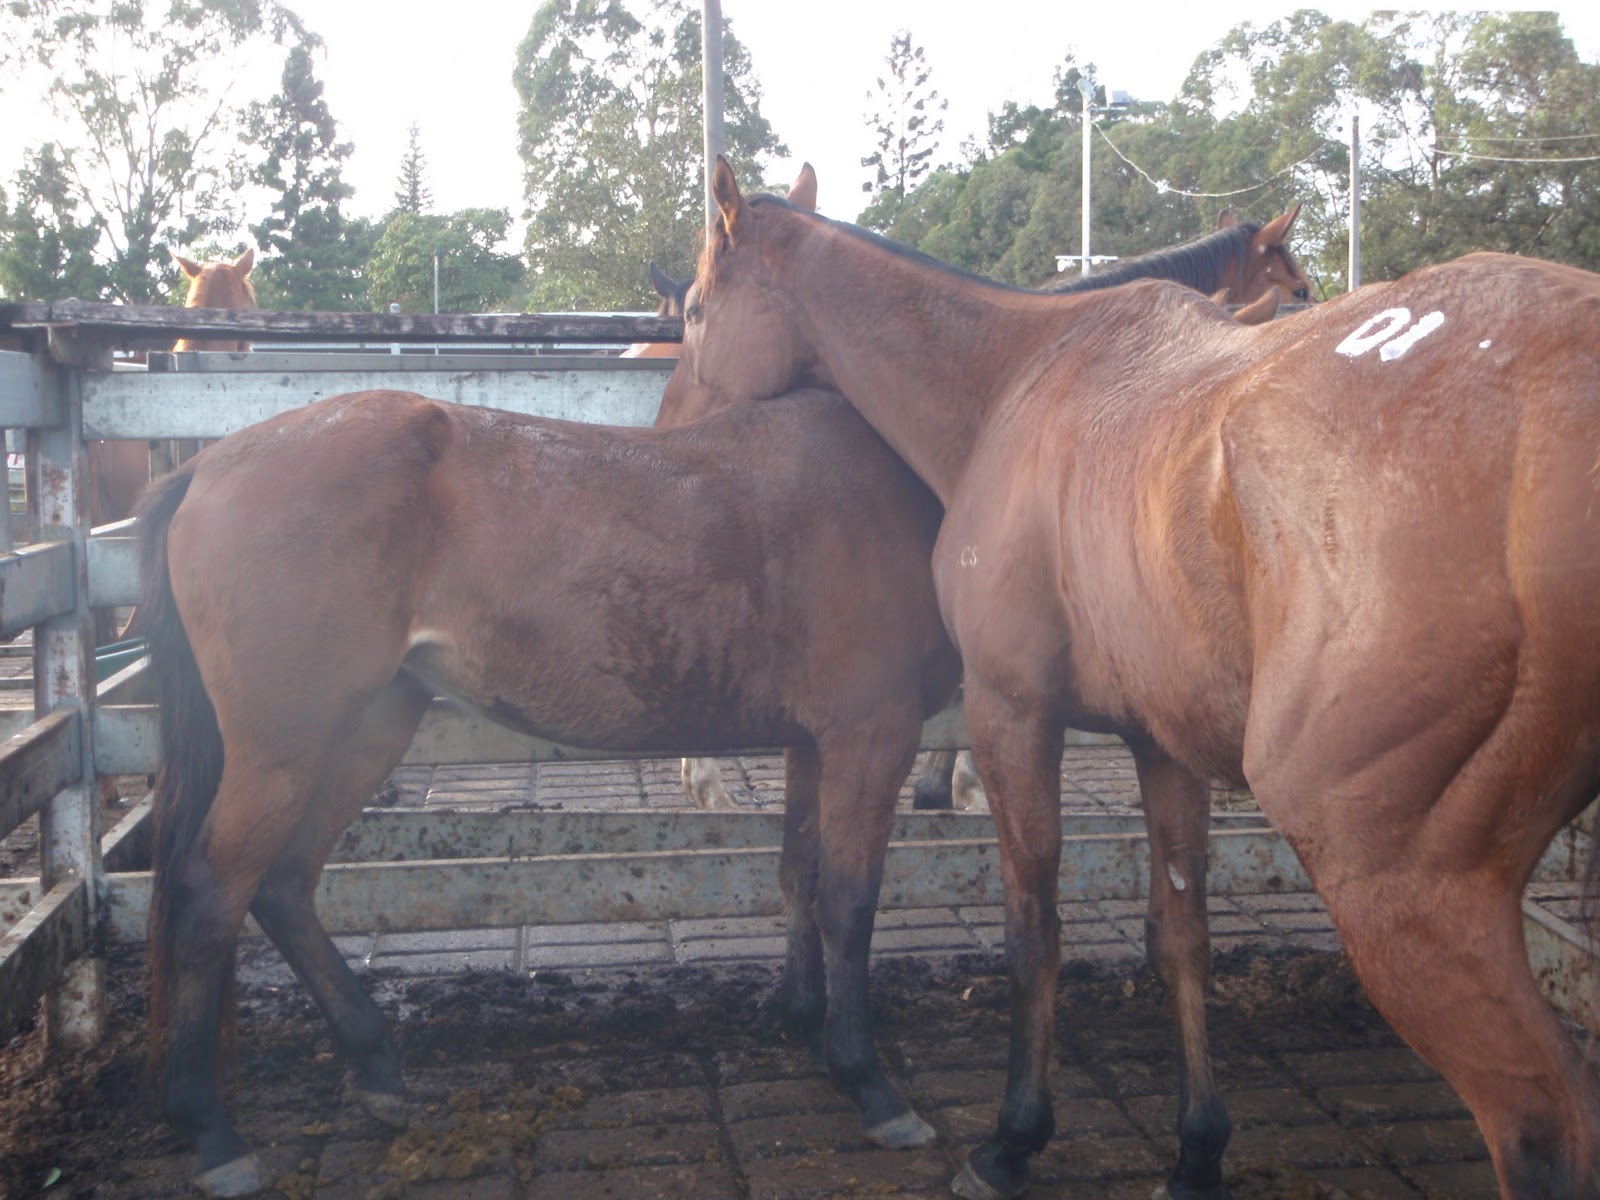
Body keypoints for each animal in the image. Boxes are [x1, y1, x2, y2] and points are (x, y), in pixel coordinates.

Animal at [137, 386, 965, 1196]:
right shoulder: (870, 735)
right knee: (210, 893)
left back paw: (374, 1065)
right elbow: (849, 903)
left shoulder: (815, 743)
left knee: (281, 885)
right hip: (287, 749)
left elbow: (801, 875)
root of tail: (206, 467)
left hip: (366, 725)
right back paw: (210, 1129)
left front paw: (804, 1022)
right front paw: (867, 1081)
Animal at [661, 156, 1600, 1200]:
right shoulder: (1164, 742)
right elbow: (1179, 938)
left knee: (1540, 1120)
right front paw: (1197, 1149)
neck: (1018, 377)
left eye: (696, 308)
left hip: (1399, 881)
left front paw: (1015, 1137)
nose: (669, 427)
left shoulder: (1012, 712)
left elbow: (1035, 927)